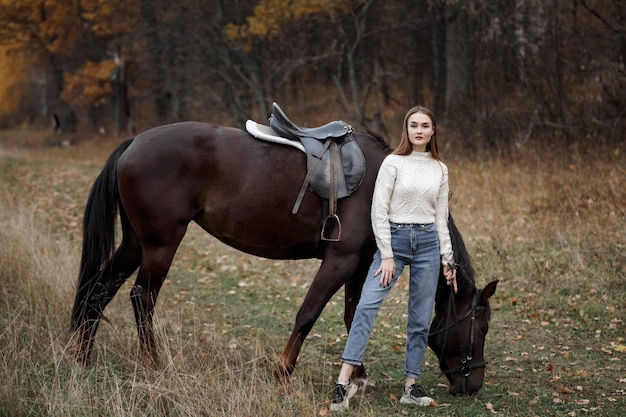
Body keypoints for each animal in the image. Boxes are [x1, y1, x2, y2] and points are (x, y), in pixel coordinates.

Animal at [68, 120, 494, 394]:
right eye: (484, 326)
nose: (472, 385)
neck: (386, 180)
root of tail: (135, 141)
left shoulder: (361, 265)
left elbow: (354, 317)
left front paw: (356, 376)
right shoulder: (339, 261)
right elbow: (308, 313)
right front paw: (283, 370)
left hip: (136, 243)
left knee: (99, 290)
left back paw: (83, 359)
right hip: (161, 244)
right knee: (142, 297)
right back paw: (154, 364)